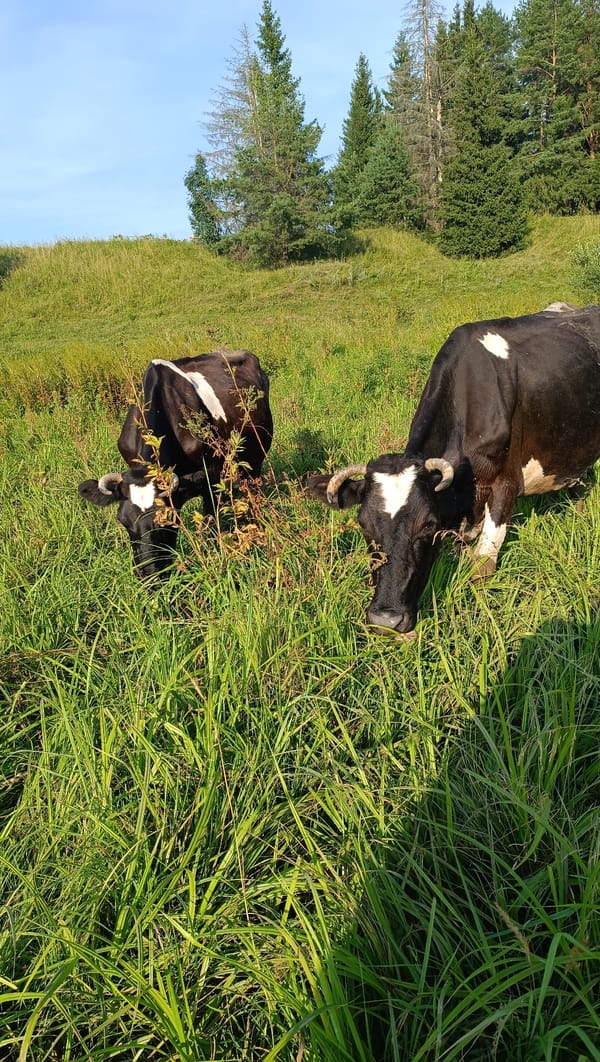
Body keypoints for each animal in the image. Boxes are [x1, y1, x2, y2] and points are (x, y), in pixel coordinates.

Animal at [79, 348, 273, 578]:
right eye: (122, 521)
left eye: (167, 521)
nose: (148, 575)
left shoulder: (210, 476)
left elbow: (210, 520)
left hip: (257, 453)